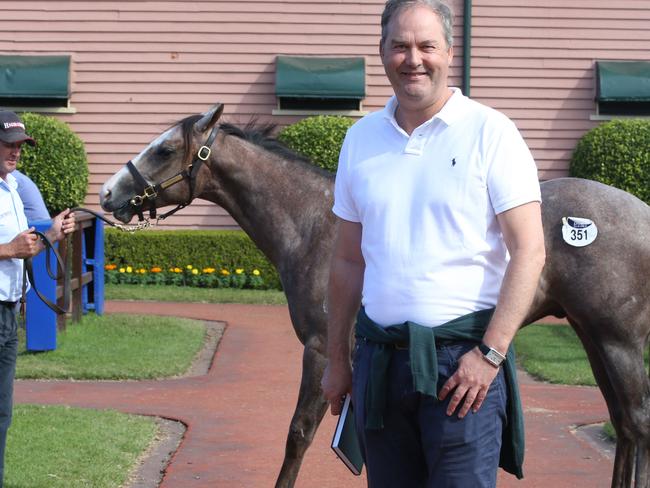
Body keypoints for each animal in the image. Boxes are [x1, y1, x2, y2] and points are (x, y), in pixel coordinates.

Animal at [98, 105, 644, 486]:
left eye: (164, 150)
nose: (107, 194)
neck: (315, 223)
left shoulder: (321, 351)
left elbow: (298, 434)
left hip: (617, 341)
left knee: (637, 423)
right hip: (591, 336)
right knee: (624, 424)